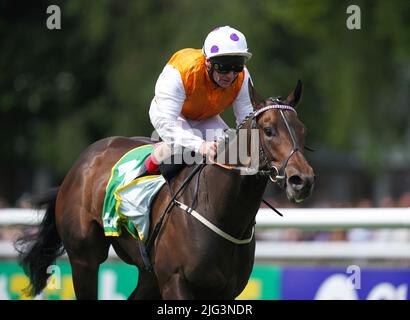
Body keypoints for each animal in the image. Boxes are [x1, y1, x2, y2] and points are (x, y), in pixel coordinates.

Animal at [16, 80, 316, 300]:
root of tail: (80, 164)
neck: (220, 212)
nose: (302, 180)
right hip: (84, 258)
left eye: (303, 130)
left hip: (149, 275)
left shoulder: (224, 290)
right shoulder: (176, 283)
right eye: (268, 130)